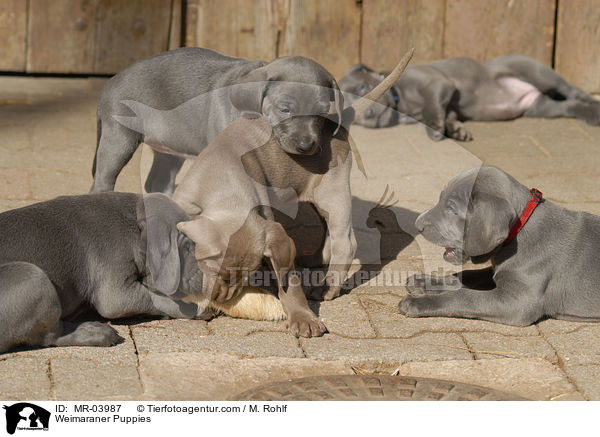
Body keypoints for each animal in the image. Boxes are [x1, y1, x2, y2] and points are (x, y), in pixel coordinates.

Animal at [89, 46, 342, 194]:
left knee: (158, 183)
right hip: (119, 137)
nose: (306, 146)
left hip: (171, 148)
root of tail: (111, 81)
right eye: (285, 109)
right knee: (103, 179)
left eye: (323, 111)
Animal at [176, 51, 414, 338]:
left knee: (345, 242)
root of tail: (339, 120)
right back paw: (314, 258)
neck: (222, 183)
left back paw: (327, 286)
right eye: (210, 269)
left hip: (333, 192)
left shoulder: (271, 229)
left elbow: (288, 280)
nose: (220, 300)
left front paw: (303, 318)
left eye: (244, 275)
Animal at [340, 54, 596, 140]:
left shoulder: (437, 84)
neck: (401, 102)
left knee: (574, 91)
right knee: (569, 106)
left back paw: (596, 108)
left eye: (362, 88)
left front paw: (435, 129)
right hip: (539, 107)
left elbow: (431, 106)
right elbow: (448, 116)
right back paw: (590, 114)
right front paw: (456, 131)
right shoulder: (449, 107)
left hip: (539, 73)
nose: (369, 114)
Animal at [398, 165, 600, 326]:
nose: (417, 225)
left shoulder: (519, 301)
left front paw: (418, 302)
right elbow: (467, 275)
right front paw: (425, 281)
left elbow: (466, 296)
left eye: (452, 209)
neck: (520, 230)